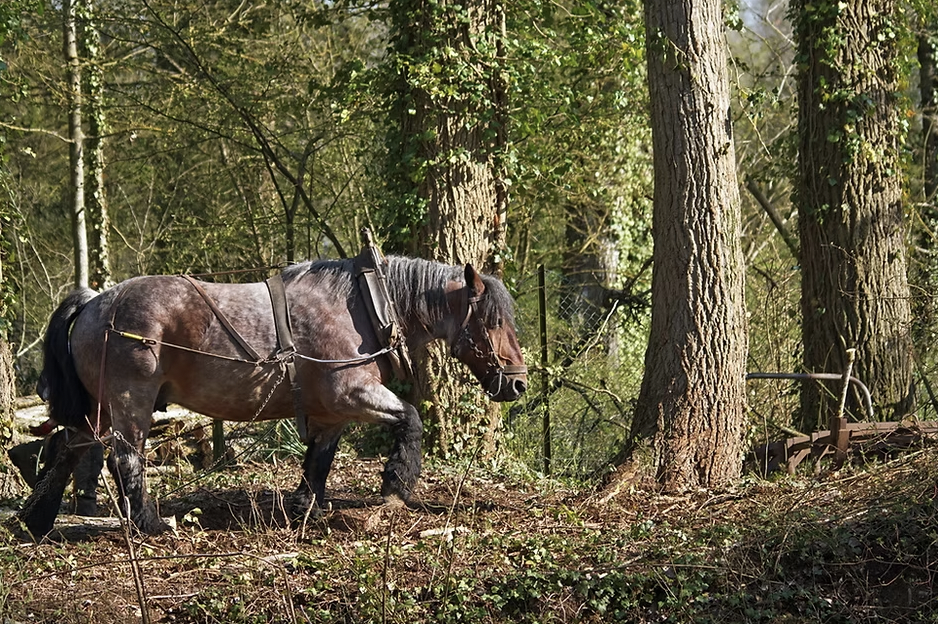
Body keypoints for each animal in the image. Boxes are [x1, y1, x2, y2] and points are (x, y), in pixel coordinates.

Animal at [14, 256, 528, 540]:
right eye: (492, 322)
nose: (518, 383)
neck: (365, 307)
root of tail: (95, 301)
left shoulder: (332, 411)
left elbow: (319, 461)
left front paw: (308, 507)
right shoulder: (353, 393)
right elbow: (412, 418)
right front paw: (397, 482)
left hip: (97, 409)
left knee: (68, 449)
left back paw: (38, 519)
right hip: (129, 401)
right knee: (124, 459)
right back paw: (149, 522)